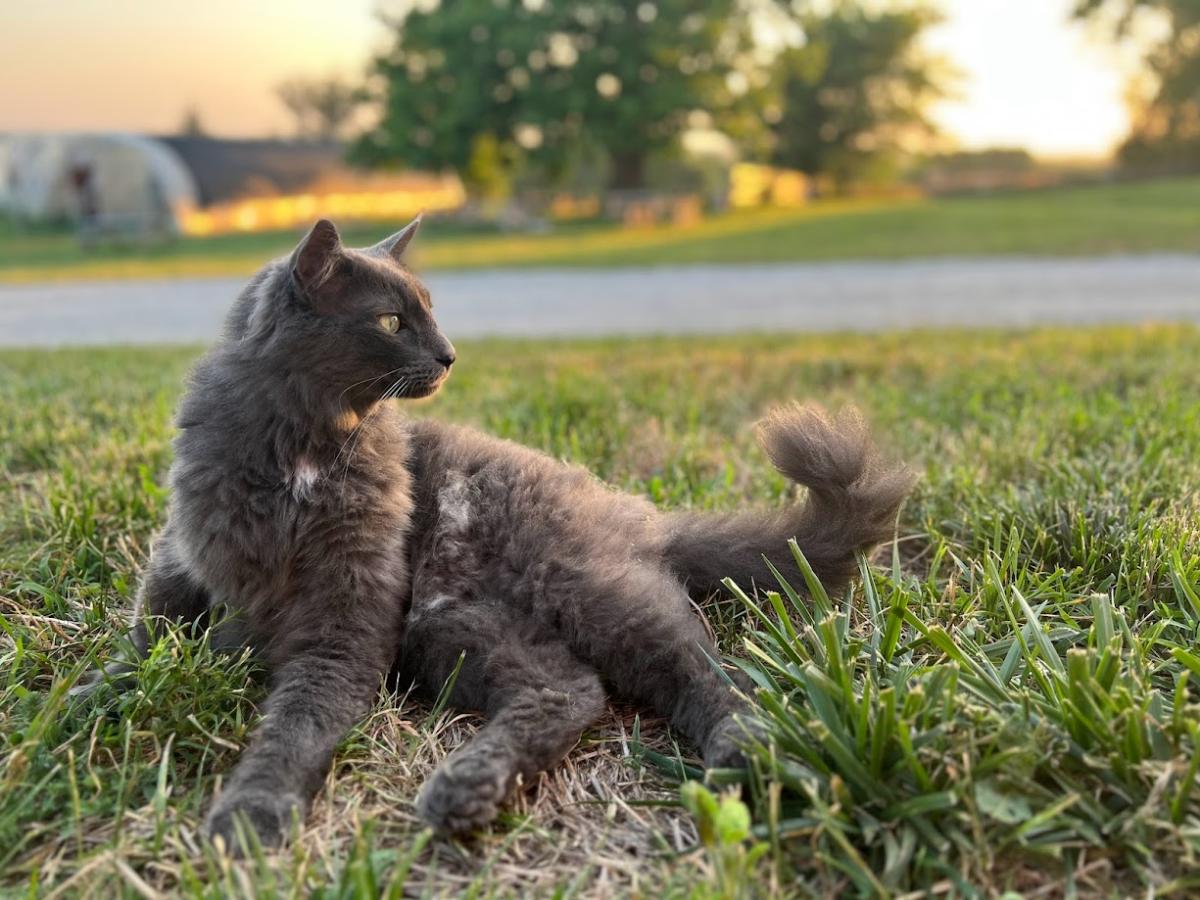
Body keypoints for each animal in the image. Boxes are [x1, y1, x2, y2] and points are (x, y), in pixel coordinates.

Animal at [77, 218, 907, 854]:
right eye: (391, 321)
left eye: (429, 313)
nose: (449, 354)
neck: (299, 450)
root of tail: (634, 510)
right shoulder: (179, 561)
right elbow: (140, 642)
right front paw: (86, 697)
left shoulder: (342, 627)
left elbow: (294, 725)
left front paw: (250, 811)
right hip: (452, 625)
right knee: (567, 689)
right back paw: (467, 791)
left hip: (576, 594)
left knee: (702, 669)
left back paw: (738, 753)